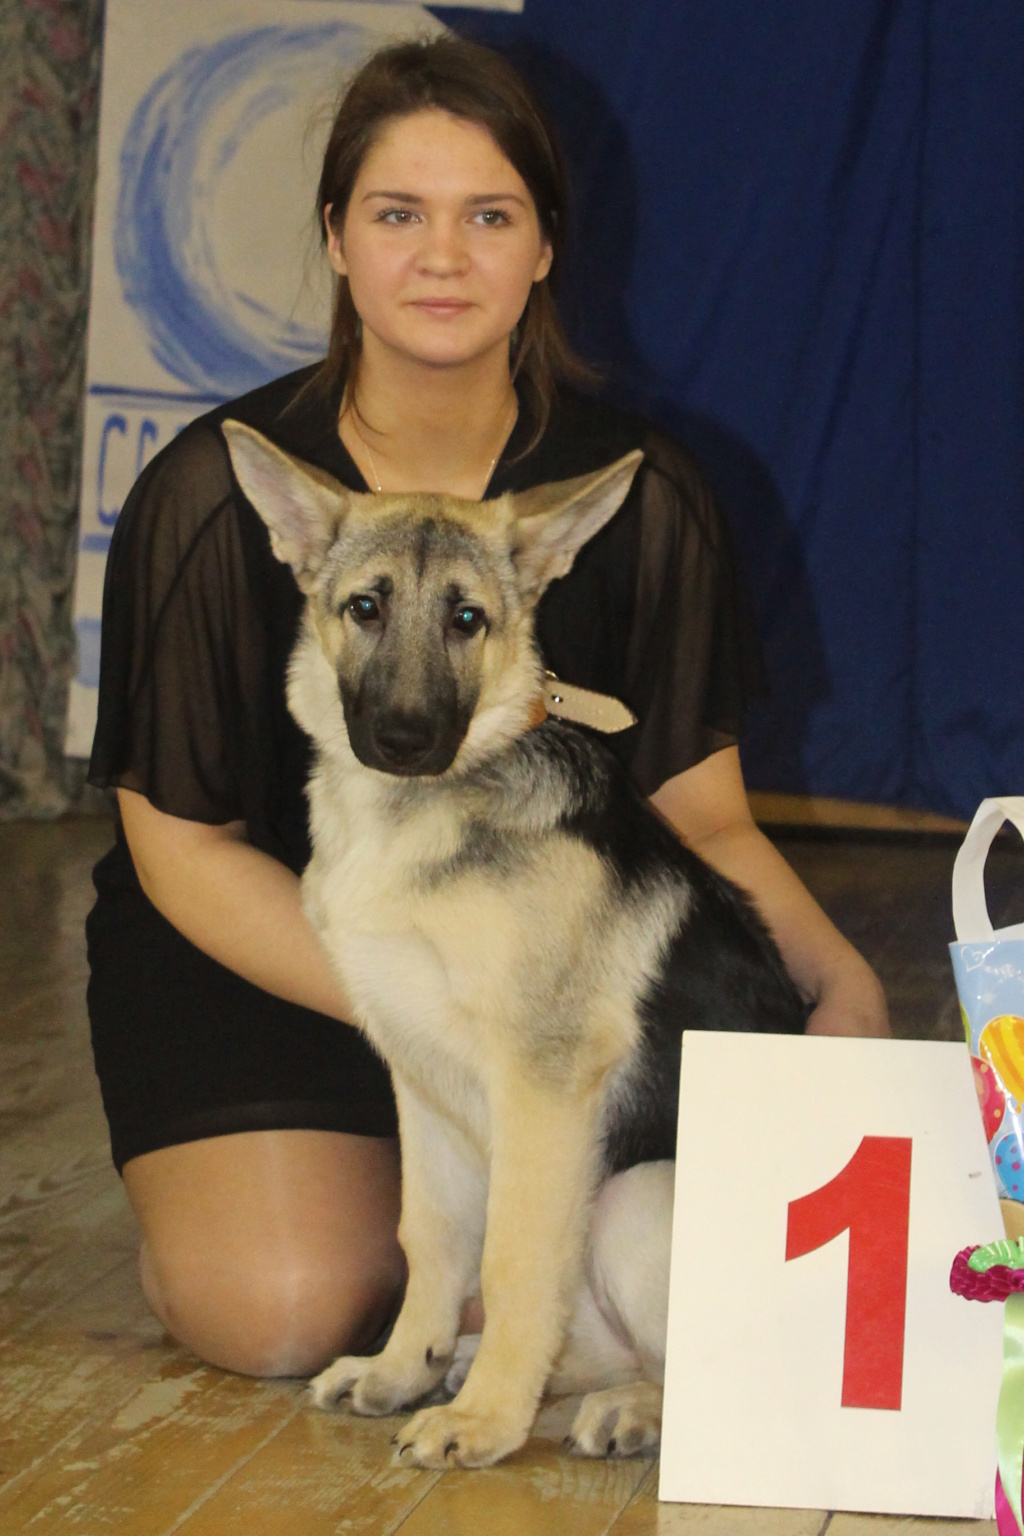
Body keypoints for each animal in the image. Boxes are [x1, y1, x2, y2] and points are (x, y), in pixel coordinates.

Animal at [221, 417, 804, 1462]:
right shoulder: (419, 1079)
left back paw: (616, 1411)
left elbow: (513, 1261)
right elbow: (433, 1240)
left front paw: (485, 1421)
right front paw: (404, 1367)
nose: (407, 741)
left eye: (468, 620)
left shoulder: (543, 1083)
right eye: (365, 608)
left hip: (634, 1194)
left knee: (720, 1393)